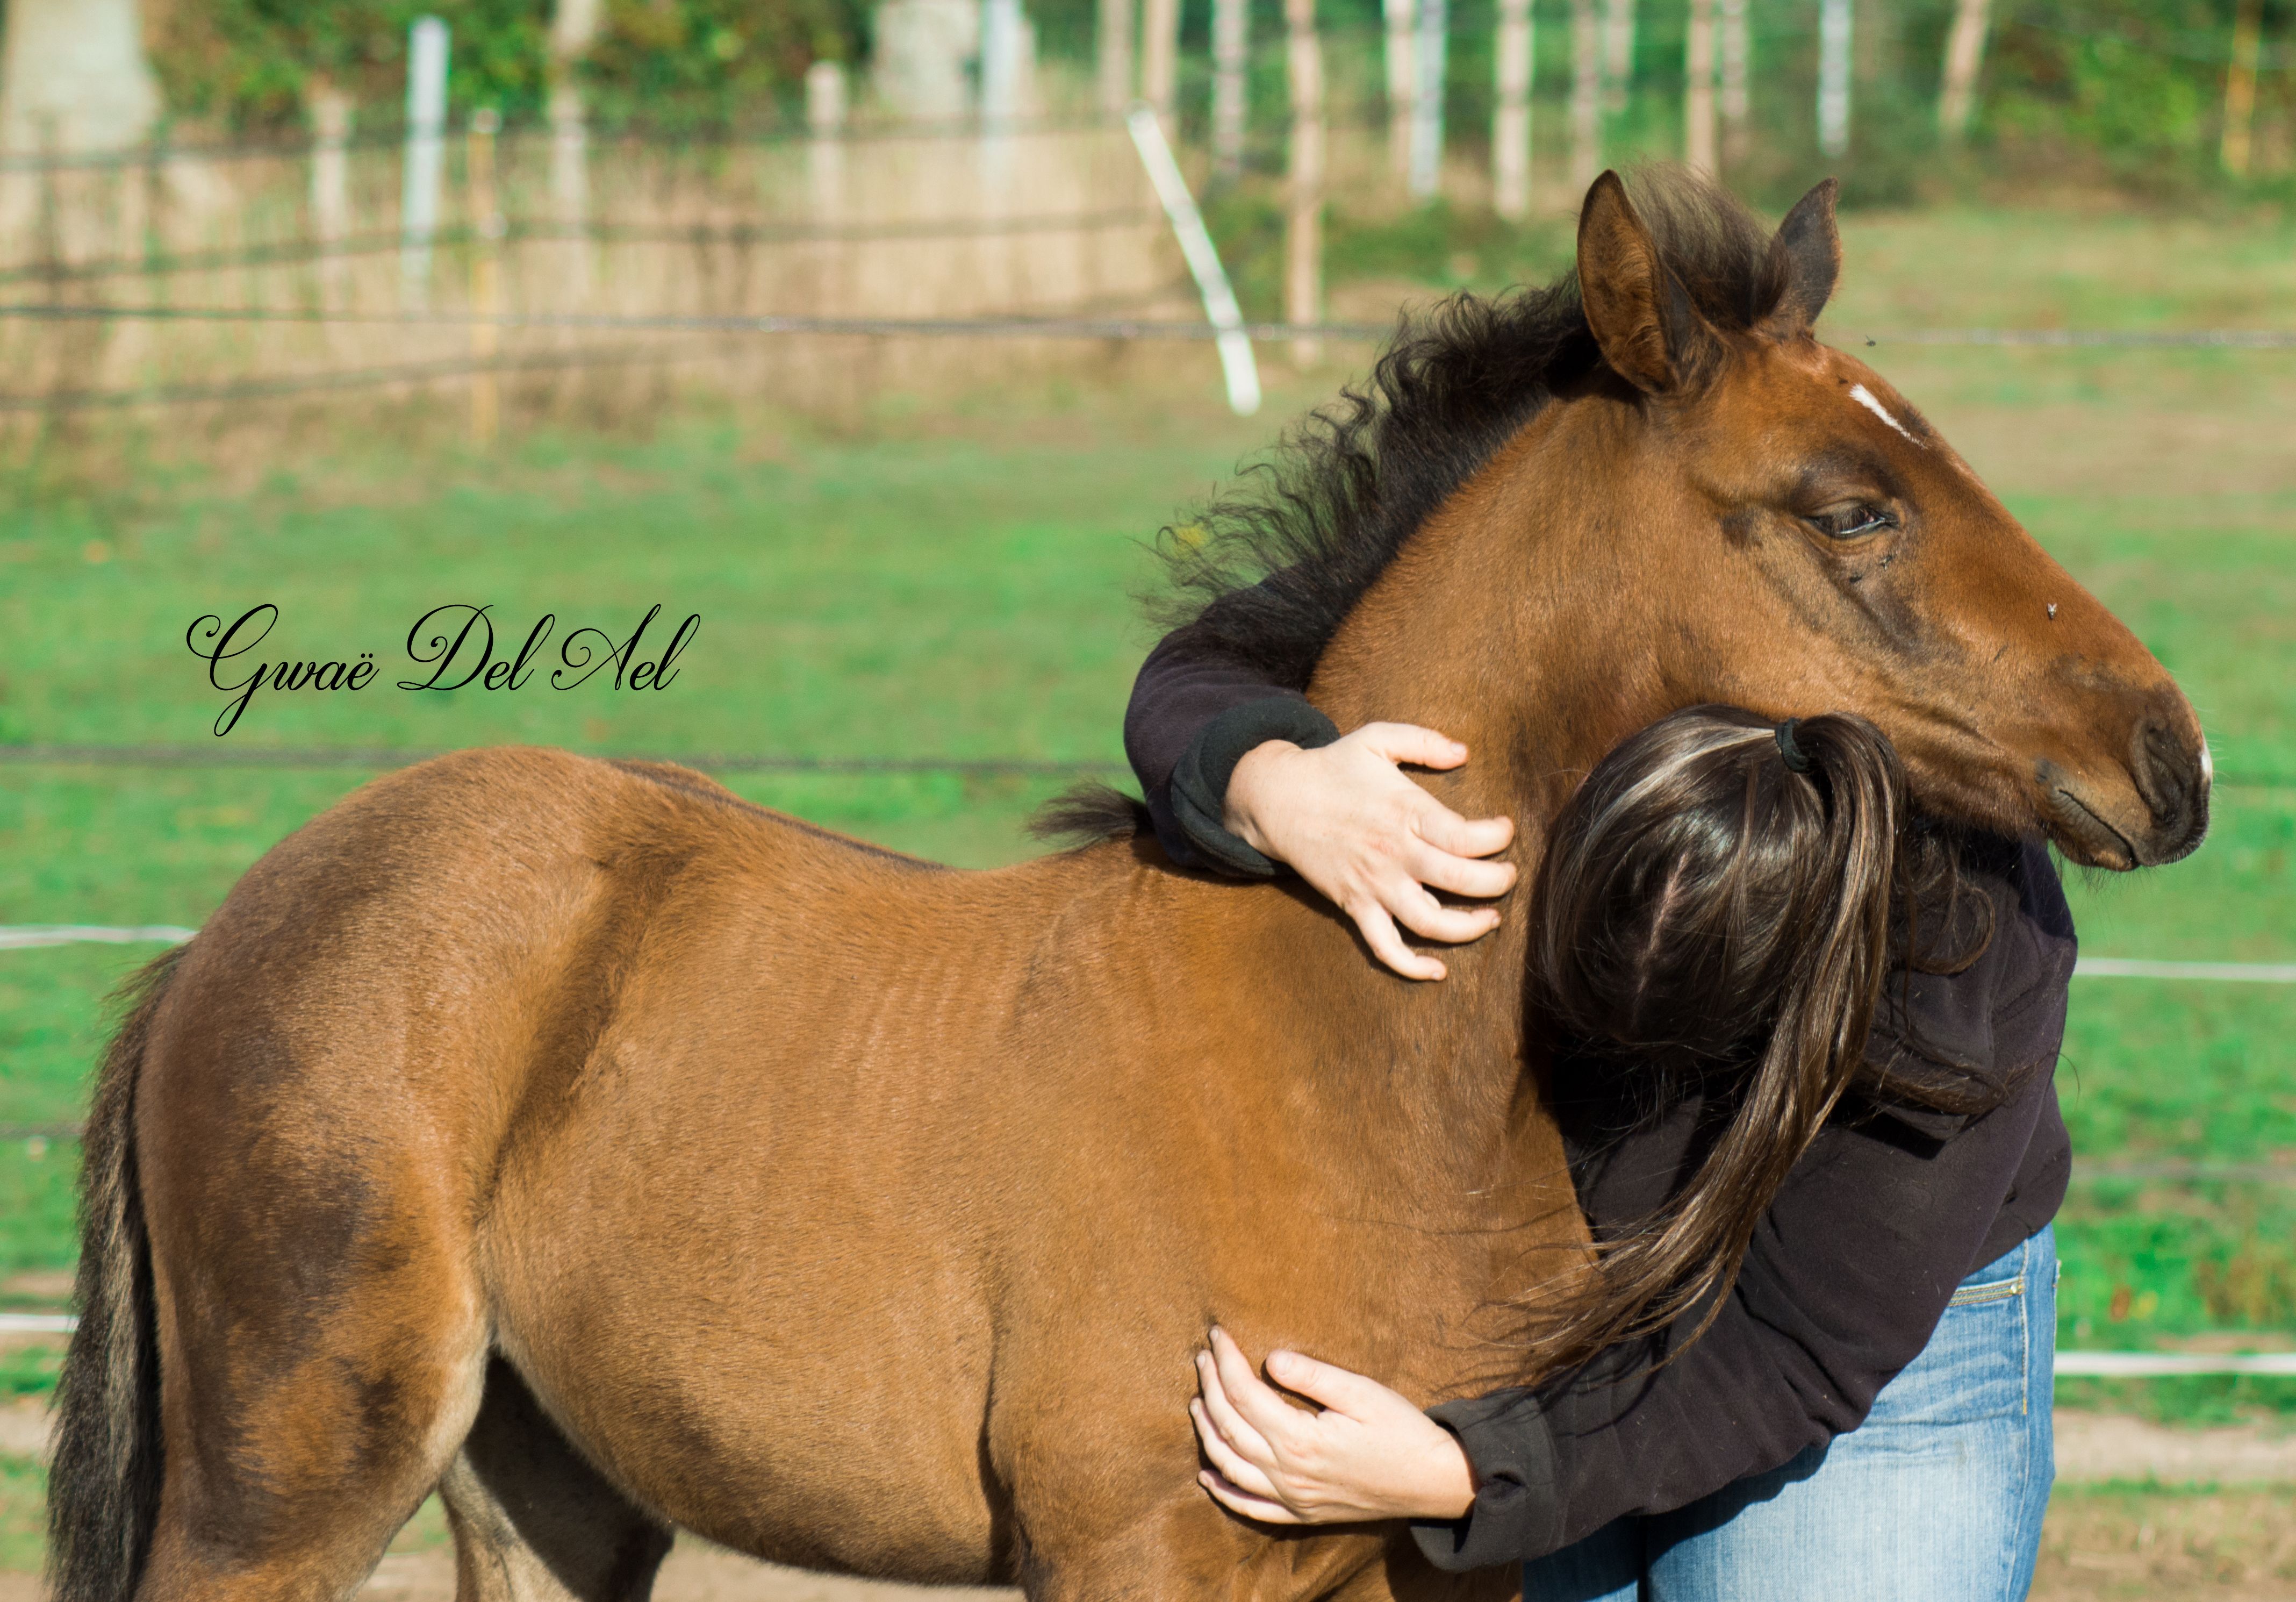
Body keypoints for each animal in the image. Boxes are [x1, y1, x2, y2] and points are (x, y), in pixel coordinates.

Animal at [54, 174, 2204, 1597]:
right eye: (1850, 508)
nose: (2167, 757)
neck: (1353, 1054)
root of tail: (217, 939)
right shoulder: (1133, 1549)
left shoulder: (1430, 1551)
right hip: (297, 1461)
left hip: (549, 1484)